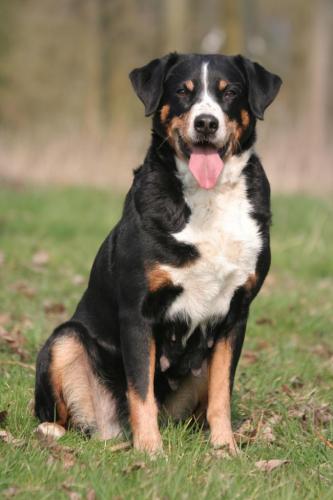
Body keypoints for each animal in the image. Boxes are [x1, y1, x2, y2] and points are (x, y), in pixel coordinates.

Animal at [35, 52, 280, 456]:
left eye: (230, 92)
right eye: (183, 91)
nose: (206, 122)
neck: (207, 198)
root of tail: (111, 428)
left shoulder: (236, 314)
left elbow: (221, 395)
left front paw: (225, 448)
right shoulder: (138, 312)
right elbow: (141, 390)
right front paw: (150, 450)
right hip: (65, 339)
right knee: (60, 409)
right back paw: (52, 430)